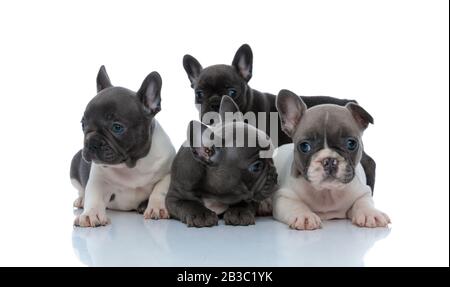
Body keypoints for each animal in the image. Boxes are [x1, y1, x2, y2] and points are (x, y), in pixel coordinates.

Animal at [70, 66, 176, 228]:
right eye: (83, 124)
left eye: (117, 127)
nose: (92, 142)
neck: (132, 166)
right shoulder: (98, 181)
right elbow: (94, 196)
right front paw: (90, 214)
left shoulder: (168, 173)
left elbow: (160, 189)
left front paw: (156, 207)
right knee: (81, 190)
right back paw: (81, 200)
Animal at [165, 97, 278, 230]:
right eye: (256, 166)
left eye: (272, 156)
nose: (275, 174)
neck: (216, 195)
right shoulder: (174, 196)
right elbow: (188, 203)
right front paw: (201, 214)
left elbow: (245, 202)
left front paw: (239, 212)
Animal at [270, 91, 390, 231]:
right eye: (305, 146)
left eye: (351, 143)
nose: (329, 160)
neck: (327, 192)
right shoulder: (283, 196)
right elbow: (295, 205)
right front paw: (304, 216)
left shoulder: (363, 191)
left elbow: (363, 202)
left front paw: (370, 213)